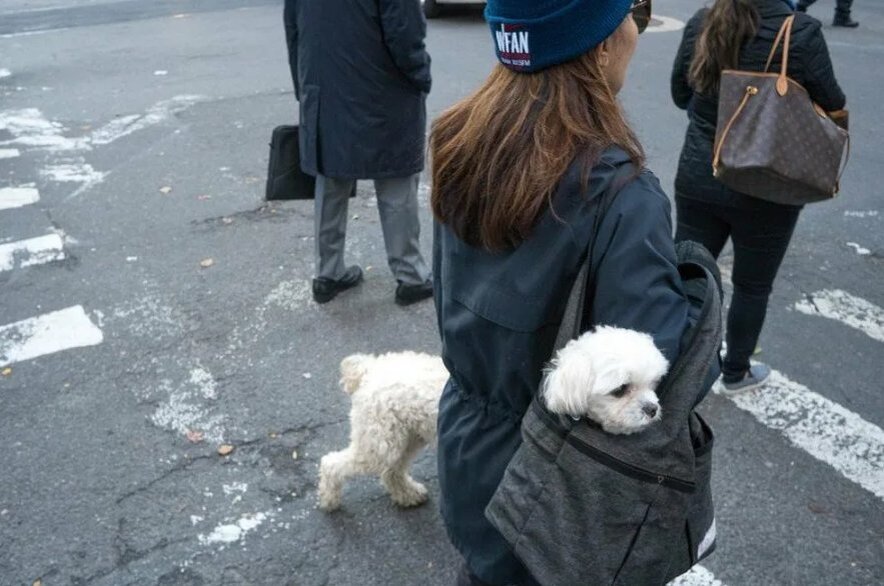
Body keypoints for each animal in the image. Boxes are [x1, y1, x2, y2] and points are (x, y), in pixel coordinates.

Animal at [318, 327, 667, 511]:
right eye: (621, 389)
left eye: (653, 384)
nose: (652, 410)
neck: (556, 384)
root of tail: (368, 370)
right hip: (379, 441)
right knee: (332, 463)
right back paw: (329, 498)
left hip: (404, 437)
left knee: (391, 470)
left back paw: (406, 494)